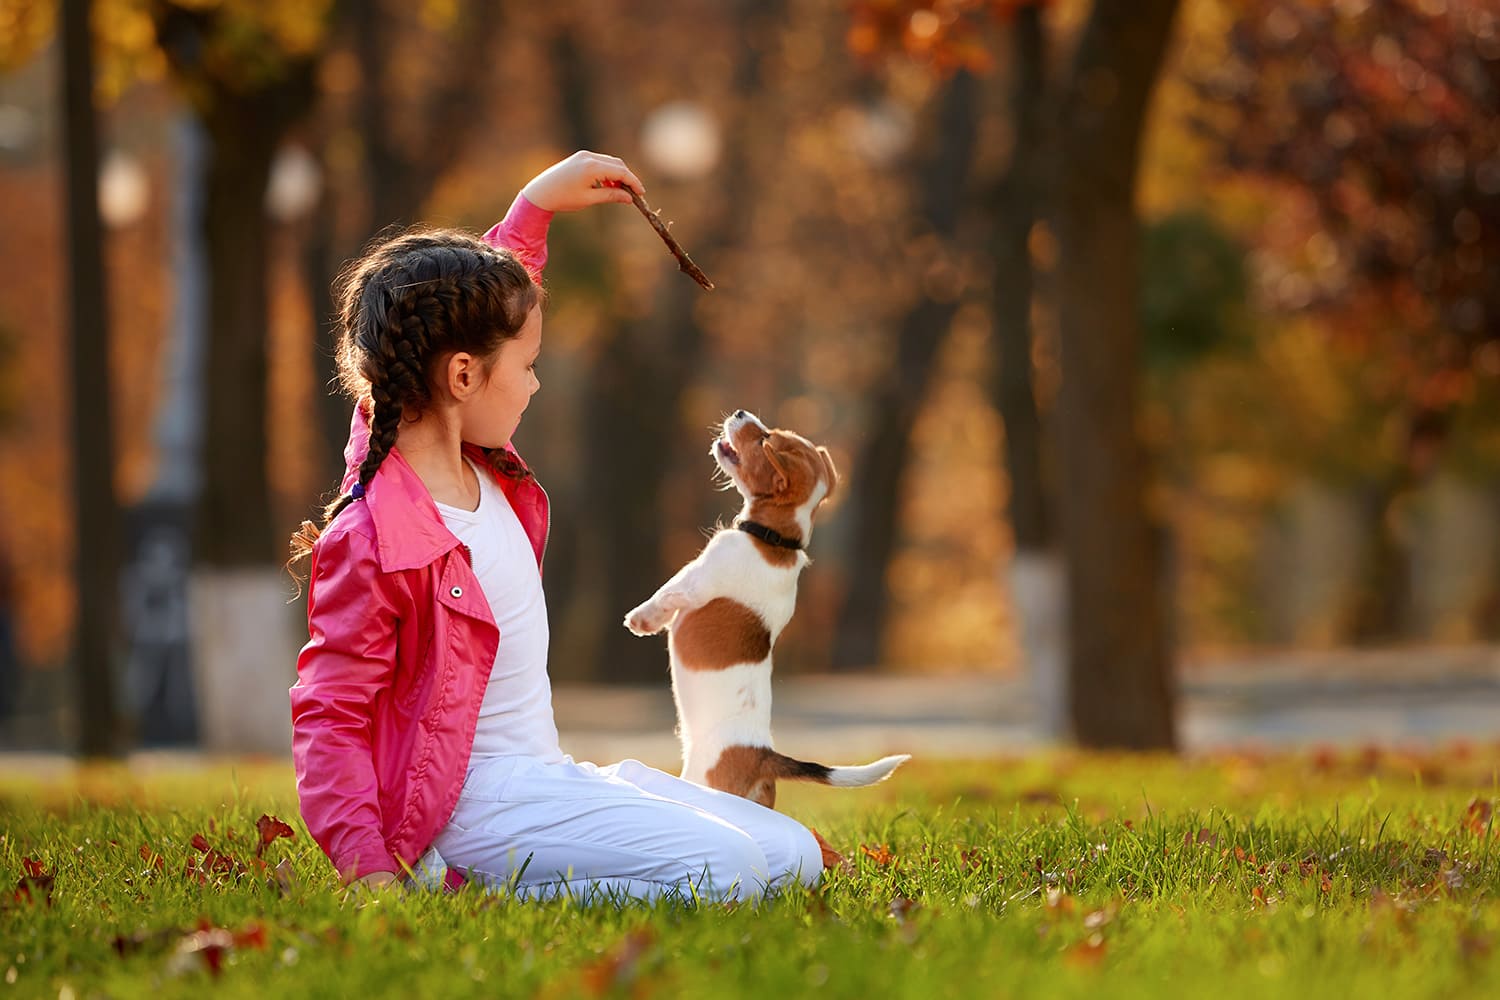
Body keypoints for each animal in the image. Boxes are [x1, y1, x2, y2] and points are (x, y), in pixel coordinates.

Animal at [618, 410, 906, 809]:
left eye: (764, 439)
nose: (740, 413)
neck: (775, 539)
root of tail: (762, 756)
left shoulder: (696, 579)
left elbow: (666, 594)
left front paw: (640, 619)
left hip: (699, 781)